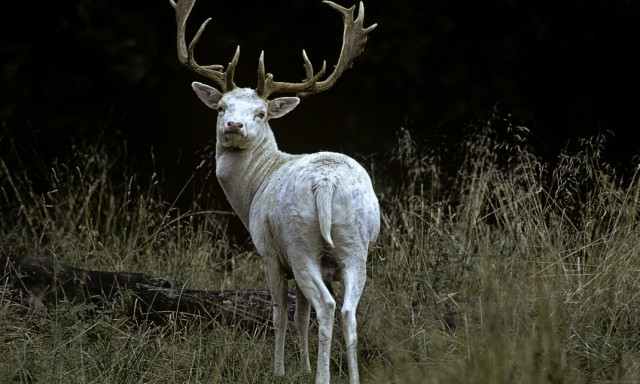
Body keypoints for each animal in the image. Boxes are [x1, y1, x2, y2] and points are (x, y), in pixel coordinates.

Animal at [170, 1, 380, 382]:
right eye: (221, 107)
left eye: (261, 113)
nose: (233, 125)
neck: (253, 189)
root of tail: (326, 183)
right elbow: (300, 316)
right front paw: (303, 367)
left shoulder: (267, 251)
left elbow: (281, 313)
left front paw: (281, 370)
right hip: (356, 245)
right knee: (348, 311)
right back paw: (351, 377)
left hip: (299, 243)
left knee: (327, 306)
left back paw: (323, 377)